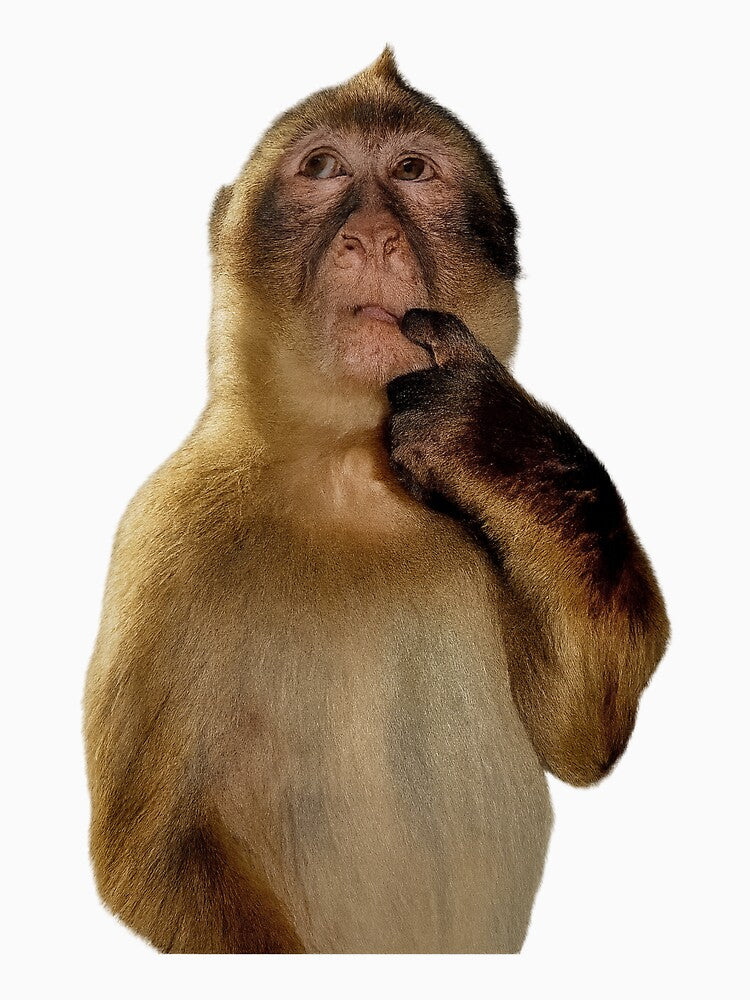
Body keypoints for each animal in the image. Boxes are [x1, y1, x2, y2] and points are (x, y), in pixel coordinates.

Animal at [83, 46, 670, 954]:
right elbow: (154, 848)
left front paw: (496, 439)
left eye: (413, 171)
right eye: (322, 168)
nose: (372, 236)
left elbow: (579, 734)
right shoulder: (167, 535)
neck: (350, 472)